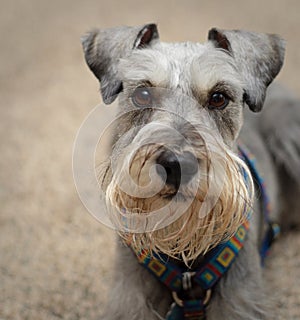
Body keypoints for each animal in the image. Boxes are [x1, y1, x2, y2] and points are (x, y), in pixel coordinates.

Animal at [81, 23, 300, 318]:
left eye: (218, 97)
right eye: (142, 94)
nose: (177, 164)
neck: (187, 270)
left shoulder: (240, 303)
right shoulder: (129, 301)